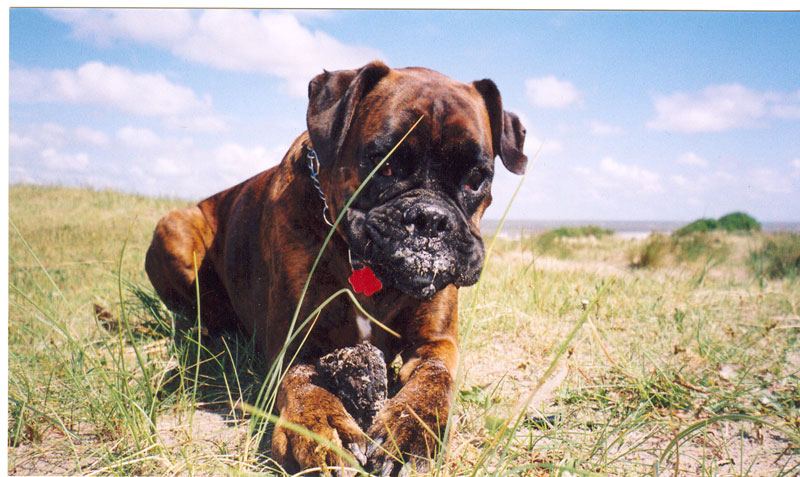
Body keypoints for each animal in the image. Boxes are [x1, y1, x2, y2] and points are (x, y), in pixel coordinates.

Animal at [147, 61, 528, 474]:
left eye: (476, 178)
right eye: (384, 166)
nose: (431, 218)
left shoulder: (436, 343)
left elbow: (433, 380)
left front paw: (411, 427)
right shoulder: (297, 343)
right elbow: (306, 384)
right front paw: (321, 429)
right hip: (174, 227)